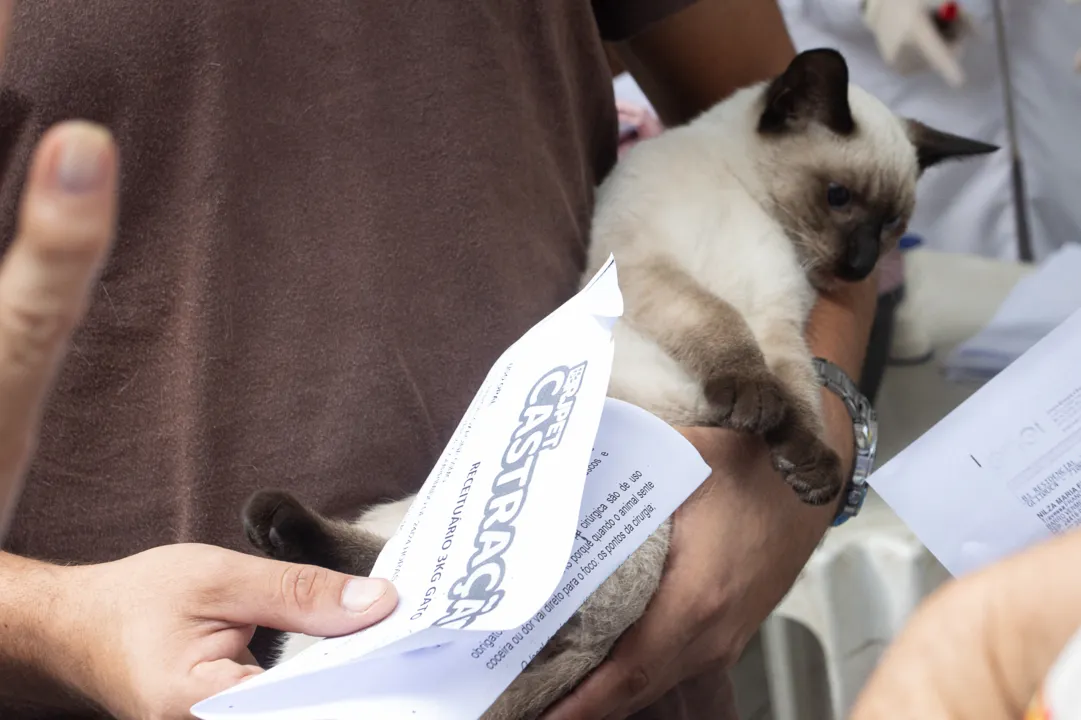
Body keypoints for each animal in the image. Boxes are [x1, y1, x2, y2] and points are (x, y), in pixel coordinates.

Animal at [238, 50, 994, 717]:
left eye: (892, 225)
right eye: (839, 199)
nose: (862, 265)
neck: (745, 198)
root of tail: (591, 649)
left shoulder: (779, 316)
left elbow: (797, 392)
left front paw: (808, 469)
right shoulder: (655, 272)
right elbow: (726, 337)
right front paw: (754, 409)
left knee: (396, 593)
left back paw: (278, 531)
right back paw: (273, 526)